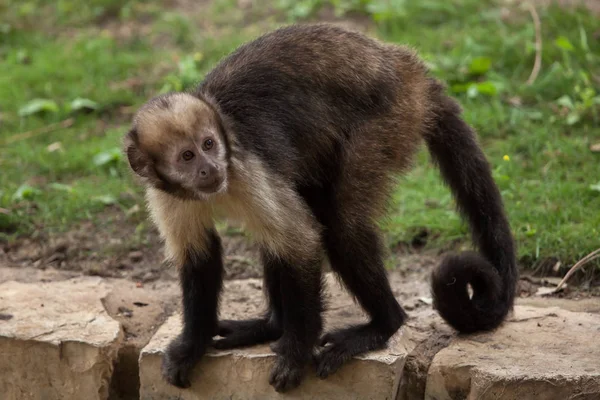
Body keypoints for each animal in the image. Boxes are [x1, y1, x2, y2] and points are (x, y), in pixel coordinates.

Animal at [124, 23, 516, 392]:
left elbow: (303, 242)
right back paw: (271, 326)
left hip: (391, 119)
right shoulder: (167, 194)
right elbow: (200, 258)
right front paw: (193, 345)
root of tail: (405, 65)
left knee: (340, 226)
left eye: (208, 144)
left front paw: (297, 351)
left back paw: (383, 324)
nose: (210, 168)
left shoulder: (245, 167)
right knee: (290, 220)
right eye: (187, 157)